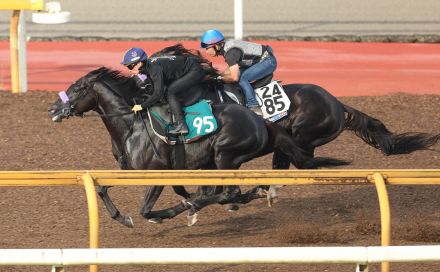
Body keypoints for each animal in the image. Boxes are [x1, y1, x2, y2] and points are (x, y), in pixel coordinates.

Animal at [48, 68, 330, 227]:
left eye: (76, 89)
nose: (52, 109)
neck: (131, 126)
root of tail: (260, 120)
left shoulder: (158, 174)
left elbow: (145, 209)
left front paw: (154, 215)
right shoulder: (128, 171)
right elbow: (102, 189)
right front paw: (121, 217)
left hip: (225, 155)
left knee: (228, 192)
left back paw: (193, 206)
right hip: (216, 161)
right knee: (225, 192)